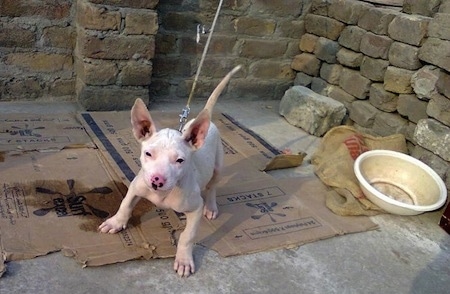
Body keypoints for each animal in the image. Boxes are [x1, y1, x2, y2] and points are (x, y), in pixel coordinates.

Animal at [97, 65, 241, 276]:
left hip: (218, 164)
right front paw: (116, 222)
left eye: (180, 160)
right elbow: (125, 204)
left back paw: (212, 206)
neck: (164, 194)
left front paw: (183, 260)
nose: (157, 180)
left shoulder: (195, 208)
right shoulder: (136, 186)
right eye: (148, 153)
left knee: (212, 186)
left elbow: (187, 236)